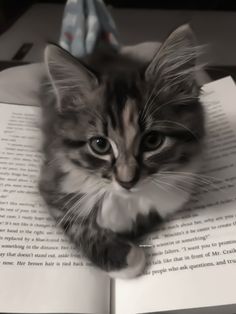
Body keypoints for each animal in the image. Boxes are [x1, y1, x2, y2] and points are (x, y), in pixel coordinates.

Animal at [39, 25, 205, 280]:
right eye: (100, 145)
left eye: (153, 141)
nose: (127, 181)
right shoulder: (52, 184)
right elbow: (78, 225)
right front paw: (125, 256)